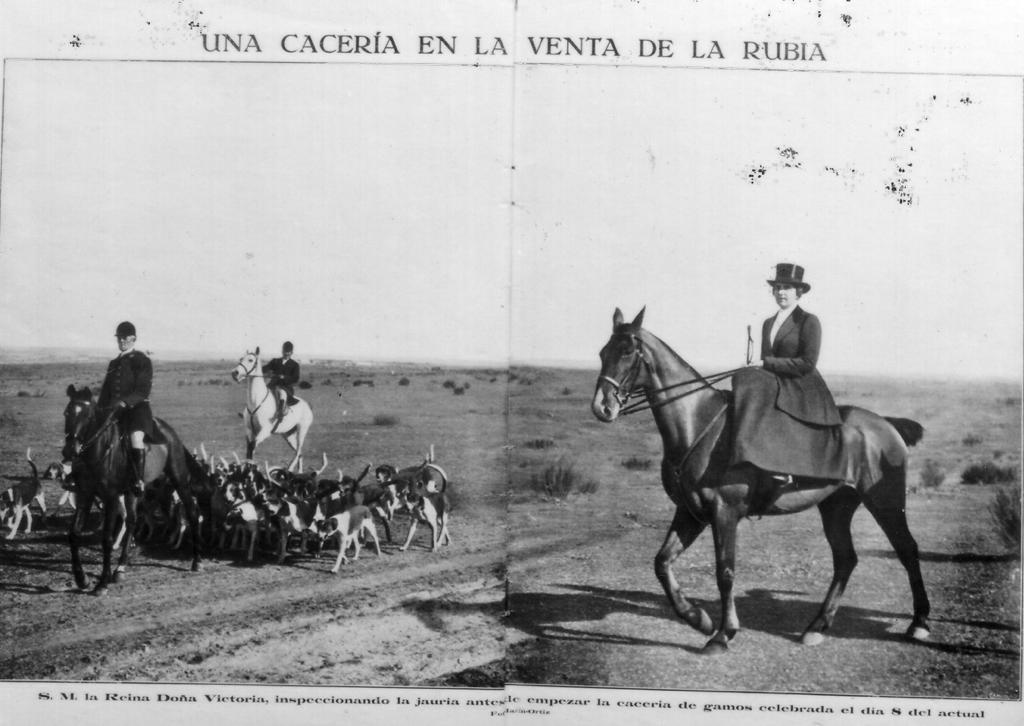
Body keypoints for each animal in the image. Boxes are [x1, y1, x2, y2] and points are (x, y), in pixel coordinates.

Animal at [63, 382, 201, 593]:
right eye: (66, 413)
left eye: (87, 416)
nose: (70, 450)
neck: (99, 451)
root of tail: (168, 431)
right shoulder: (85, 495)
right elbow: (73, 534)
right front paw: (81, 578)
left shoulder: (111, 498)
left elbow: (106, 538)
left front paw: (102, 582)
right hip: (132, 492)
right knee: (132, 521)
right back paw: (120, 568)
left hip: (179, 480)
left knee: (192, 513)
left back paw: (197, 561)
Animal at [589, 309, 933, 655]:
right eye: (603, 353)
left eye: (627, 352)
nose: (602, 407)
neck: (699, 424)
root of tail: (885, 424)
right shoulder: (691, 512)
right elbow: (662, 562)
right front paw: (698, 619)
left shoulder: (724, 512)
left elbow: (725, 571)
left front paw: (723, 634)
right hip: (836, 507)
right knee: (846, 559)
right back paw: (816, 627)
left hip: (886, 500)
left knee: (907, 549)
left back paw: (919, 623)